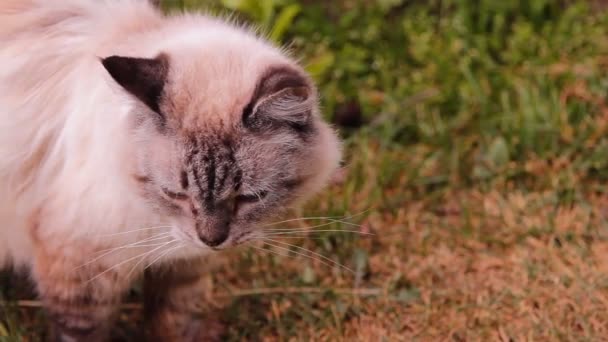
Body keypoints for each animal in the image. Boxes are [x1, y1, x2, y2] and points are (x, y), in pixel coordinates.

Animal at [0, 1, 342, 340]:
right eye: (175, 194)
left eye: (249, 198)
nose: (211, 240)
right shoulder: (81, 273)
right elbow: (81, 330)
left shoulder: (184, 268)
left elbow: (174, 323)